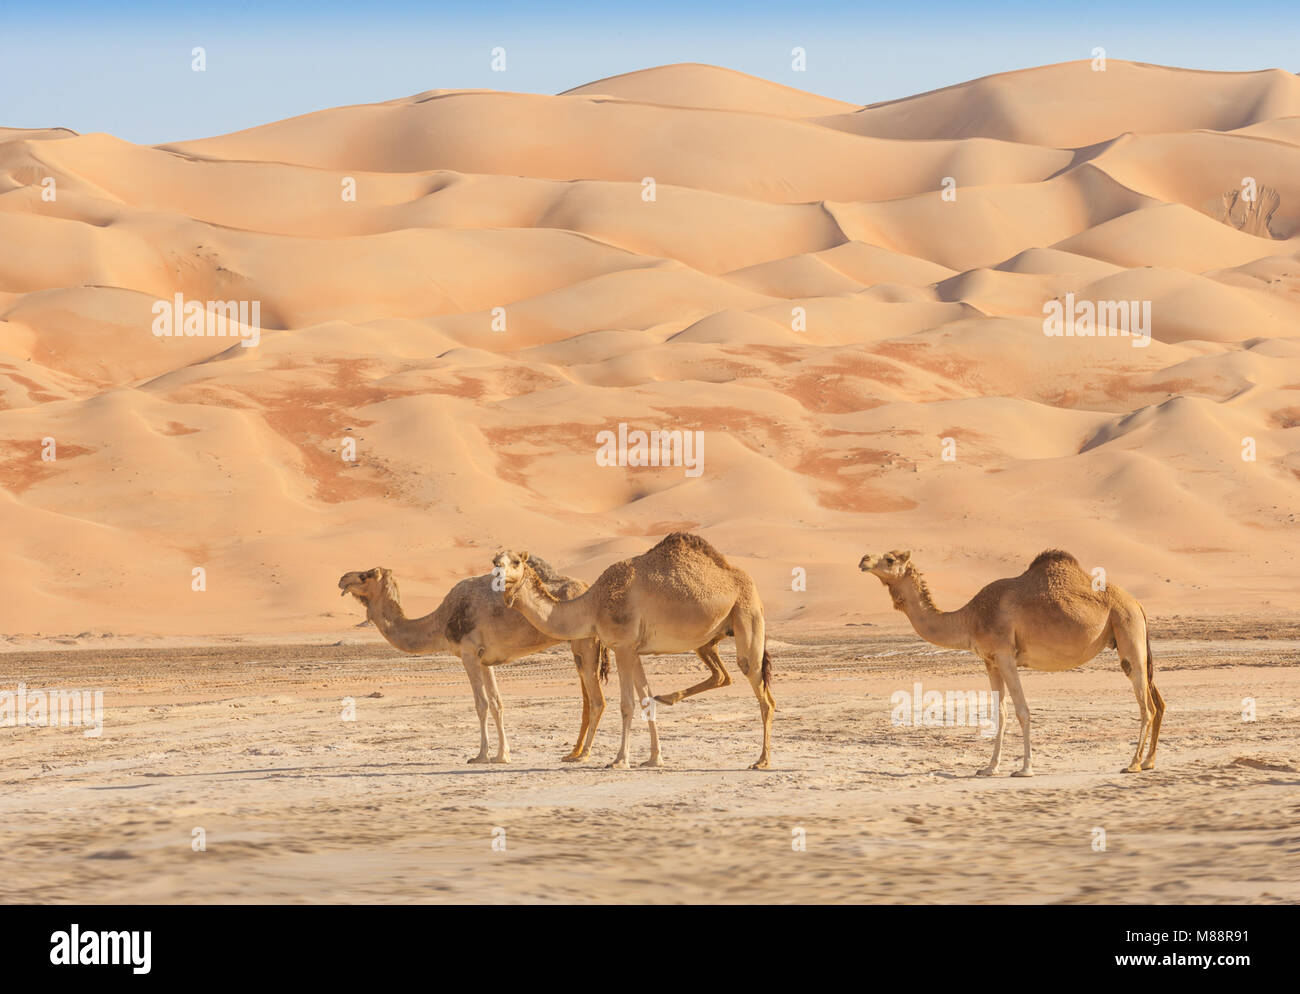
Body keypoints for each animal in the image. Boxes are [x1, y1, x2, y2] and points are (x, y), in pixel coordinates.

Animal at [340, 561, 613, 764]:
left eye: (364, 576)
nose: (342, 578)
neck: (440, 621)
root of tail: (589, 588)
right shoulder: (485, 659)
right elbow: (496, 703)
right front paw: (503, 755)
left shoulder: (469, 653)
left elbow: (480, 704)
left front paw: (480, 755)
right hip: (578, 645)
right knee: (587, 699)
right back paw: (573, 753)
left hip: (585, 642)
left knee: (597, 700)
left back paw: (583, 755)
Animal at [488, 530, 769, 769]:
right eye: (494, 560)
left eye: (515, 561)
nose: (497, 572)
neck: (593, 605)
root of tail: (748, 582)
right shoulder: (633, 650)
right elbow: (645, 698)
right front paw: (655, 758)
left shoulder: (622, 646)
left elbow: (627, 703)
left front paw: (620, 760)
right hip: (710, 638)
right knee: (726, 676)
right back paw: (670, 699)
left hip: (747, 615)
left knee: (762, 693)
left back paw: (762, 760)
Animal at [857, 550, 1164, 774]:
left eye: (890, 559)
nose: (863, 560)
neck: (970, 617)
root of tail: (1138, 604)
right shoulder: (990, 661)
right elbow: (1000, 712)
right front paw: (989, 768)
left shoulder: (1006, 655)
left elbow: (1022, 711)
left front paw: (1025, 769)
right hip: (1130, 635)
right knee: (1157, 701)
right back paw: (1148, 762)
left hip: (1127, 629)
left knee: (1146, 705)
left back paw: (1133, 764)